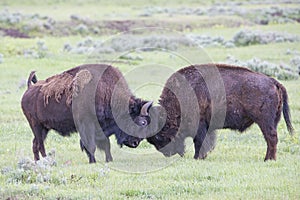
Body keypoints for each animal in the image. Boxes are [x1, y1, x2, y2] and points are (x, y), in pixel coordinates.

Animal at [21, 64, 152, 162]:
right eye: (143, 122)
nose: (135, 143)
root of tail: (29, 88)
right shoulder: (87, 125)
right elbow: (90, 145)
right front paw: (93, 161)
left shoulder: (102, 128)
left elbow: (106, 144)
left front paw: (109, 160)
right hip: (36, 126)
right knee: (40, 145)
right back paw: (46, 160)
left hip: (44, 128)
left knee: (35, 144)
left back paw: (38, 161)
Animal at [146, 64, 294, 161]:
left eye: (158, 136)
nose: (168, 153)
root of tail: (273, 81)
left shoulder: (200, 125)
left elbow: (199, 141)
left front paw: (197, 157)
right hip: (273, 121)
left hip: (264, 121)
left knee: (271, 138)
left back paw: (268, 159)